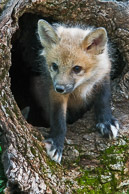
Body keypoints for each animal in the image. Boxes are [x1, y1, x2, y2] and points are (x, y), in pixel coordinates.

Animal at [37, 19, 119, 163]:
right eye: (54, 66)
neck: (81, 86)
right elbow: (58, 119)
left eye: (77, 68)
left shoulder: (103, 75)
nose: (60, 88)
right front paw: (57, 143)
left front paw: (106, 122)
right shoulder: (55, 93)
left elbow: (103, 101)